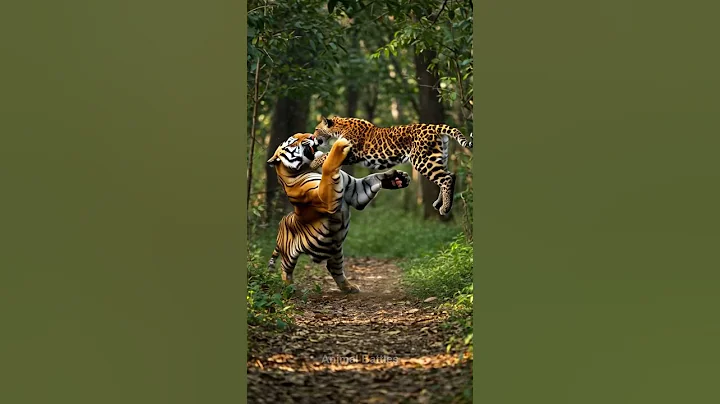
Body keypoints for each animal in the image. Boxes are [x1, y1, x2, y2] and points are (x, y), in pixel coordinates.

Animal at [266, 133, 410, 293]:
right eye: (292, 142)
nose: (312, 136)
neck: (309, 168)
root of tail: (280, 227)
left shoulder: (356, 192)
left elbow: (373, 178)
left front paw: (397, 179)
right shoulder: (326, 198)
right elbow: (328, 165)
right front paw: (340, 144)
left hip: (336, 252)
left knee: (334, 268)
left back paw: (350, 288)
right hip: (289, 256)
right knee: (285, 269)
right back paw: (289, 288)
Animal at [312, 116, 473, 216]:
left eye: (317, 129)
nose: (313, 137)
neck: (340, 126)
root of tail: (435, 126)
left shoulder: (350, 153)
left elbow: (326, 156)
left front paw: (314, 162)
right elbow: (327, 156)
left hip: (423, 161)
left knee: (446, 179)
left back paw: (445, 208)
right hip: (438, 158)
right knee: (449, 176)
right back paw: (439, 203)